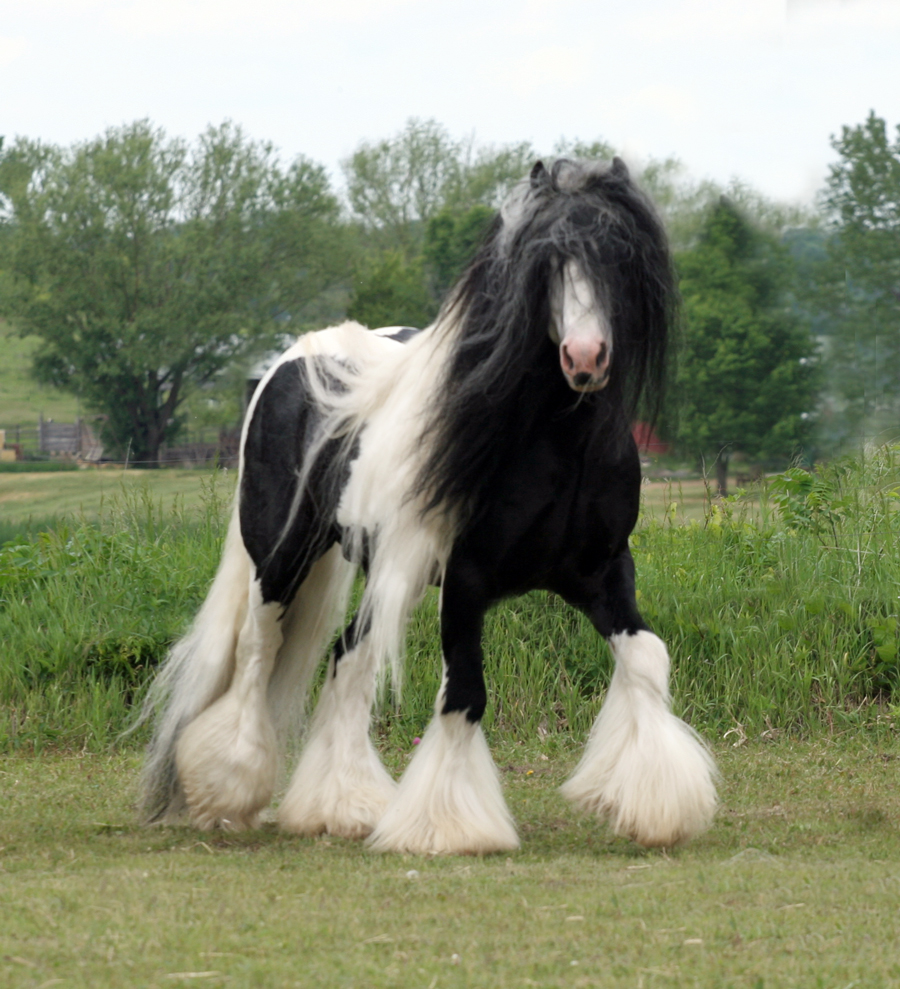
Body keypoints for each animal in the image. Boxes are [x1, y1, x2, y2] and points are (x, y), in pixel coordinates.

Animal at [141, 158, 716, 852]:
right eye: (543, 263)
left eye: (619, 255)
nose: (585, 358)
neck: (555, 445)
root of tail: (292, 358)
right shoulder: (466, 579)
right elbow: (465, 692)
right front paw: (448, 828)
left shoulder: (601, 571)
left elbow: (647, 658)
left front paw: (655, 803)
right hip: (280, 555)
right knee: (259, 648)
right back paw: (229, 787)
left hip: (392, 573)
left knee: (347, 657)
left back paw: (340, 807)